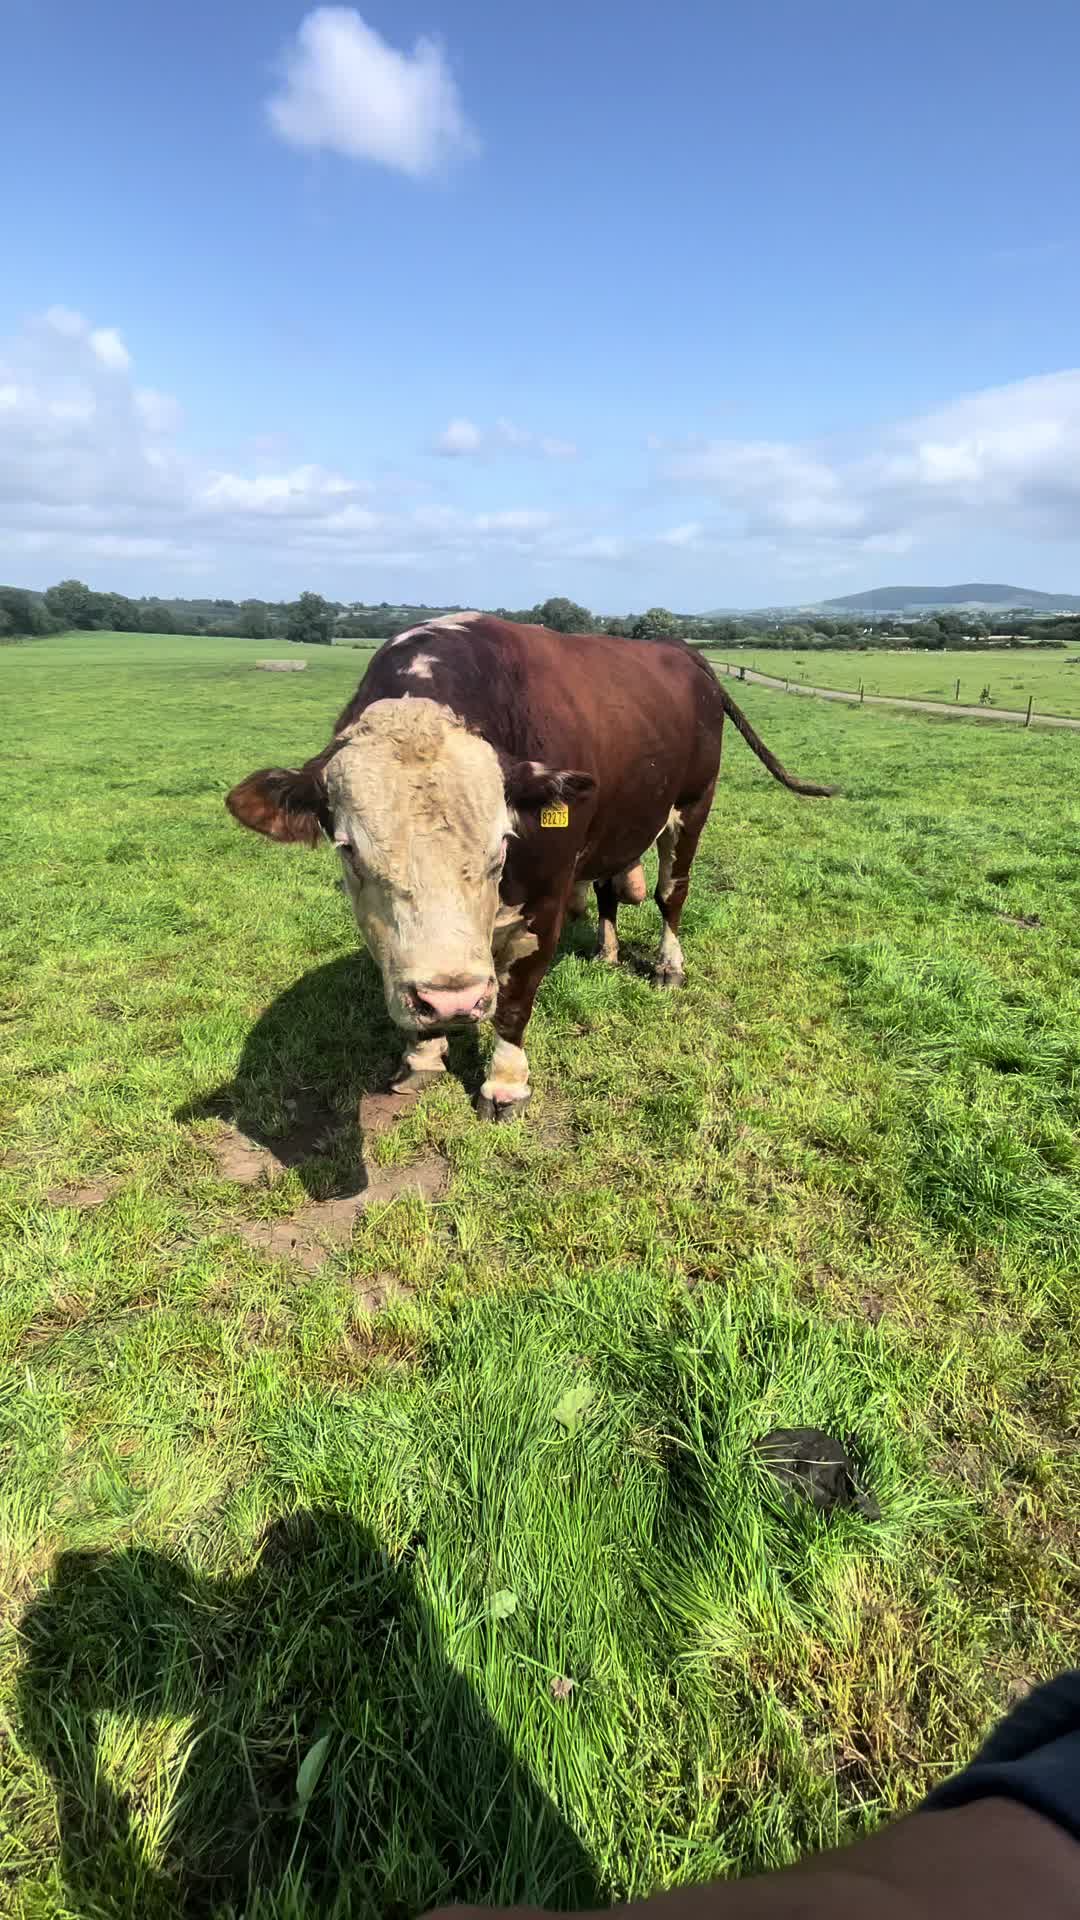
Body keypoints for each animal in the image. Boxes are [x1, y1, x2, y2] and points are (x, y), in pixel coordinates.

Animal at [226, 614, 833, 1121]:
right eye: (349, 849)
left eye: (502, 843)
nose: (452, 1000)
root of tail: (681, 651)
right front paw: (422, 1057)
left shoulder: (545, 901)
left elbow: (515, 1003)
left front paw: (505, 1084)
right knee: (609, 889)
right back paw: (607, 952)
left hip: (692, 805)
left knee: (671, 893)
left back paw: (668, 965)